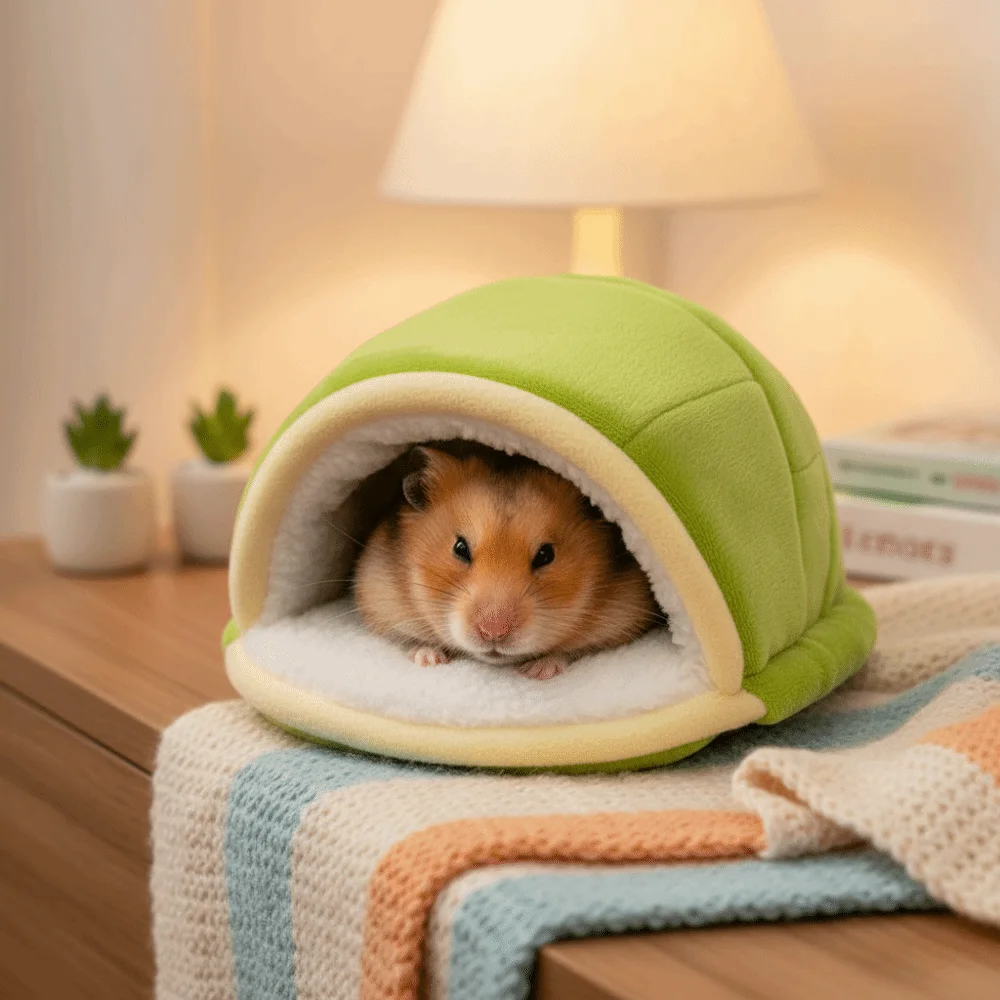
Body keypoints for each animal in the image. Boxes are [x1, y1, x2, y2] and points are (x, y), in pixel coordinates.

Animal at [353, 445, 661, 680]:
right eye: (460, 548)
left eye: (546, 555)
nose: (493, 632)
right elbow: (410, 638)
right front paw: (429, 659)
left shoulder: (623, 616)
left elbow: (570, 651)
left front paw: (537, 672)